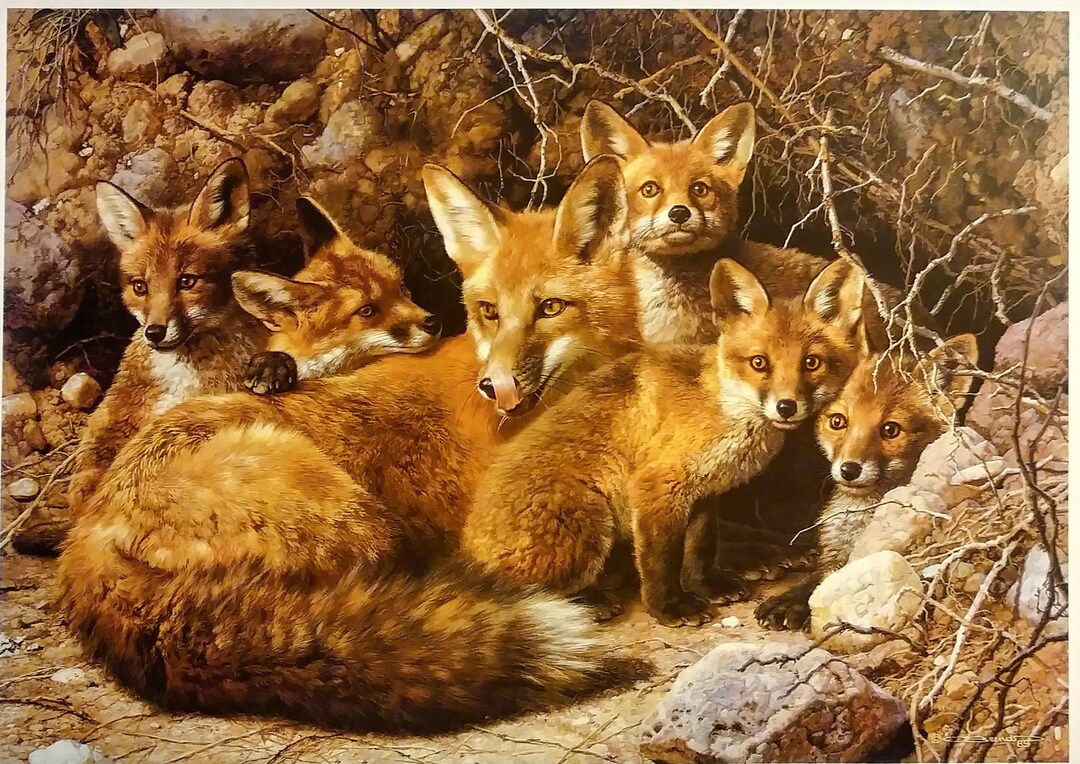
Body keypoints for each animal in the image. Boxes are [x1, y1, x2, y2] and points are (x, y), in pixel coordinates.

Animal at [56, 155, 644, 730]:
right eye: (489, 311)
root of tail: (85, 537)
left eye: (551, 308)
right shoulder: (500, 534)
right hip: (360, 521)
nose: (496, 386)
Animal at [462, 256, 867, 627]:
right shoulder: (657, 486)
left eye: (811, 363)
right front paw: (669, 606)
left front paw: (707, 585)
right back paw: (588, 601)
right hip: (589, 524)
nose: (787, 406)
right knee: (525, 592)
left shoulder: (703, 493)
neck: (718, 407)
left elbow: (700, 548)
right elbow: (661, 560)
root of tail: (464, 545)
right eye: (759, 363)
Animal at [755, 333, 979, 631]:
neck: (861, 518)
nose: (849, 469)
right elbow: (818, 578)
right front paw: (789, 599)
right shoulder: (835, 554)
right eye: (838, 421)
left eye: (890, 429)